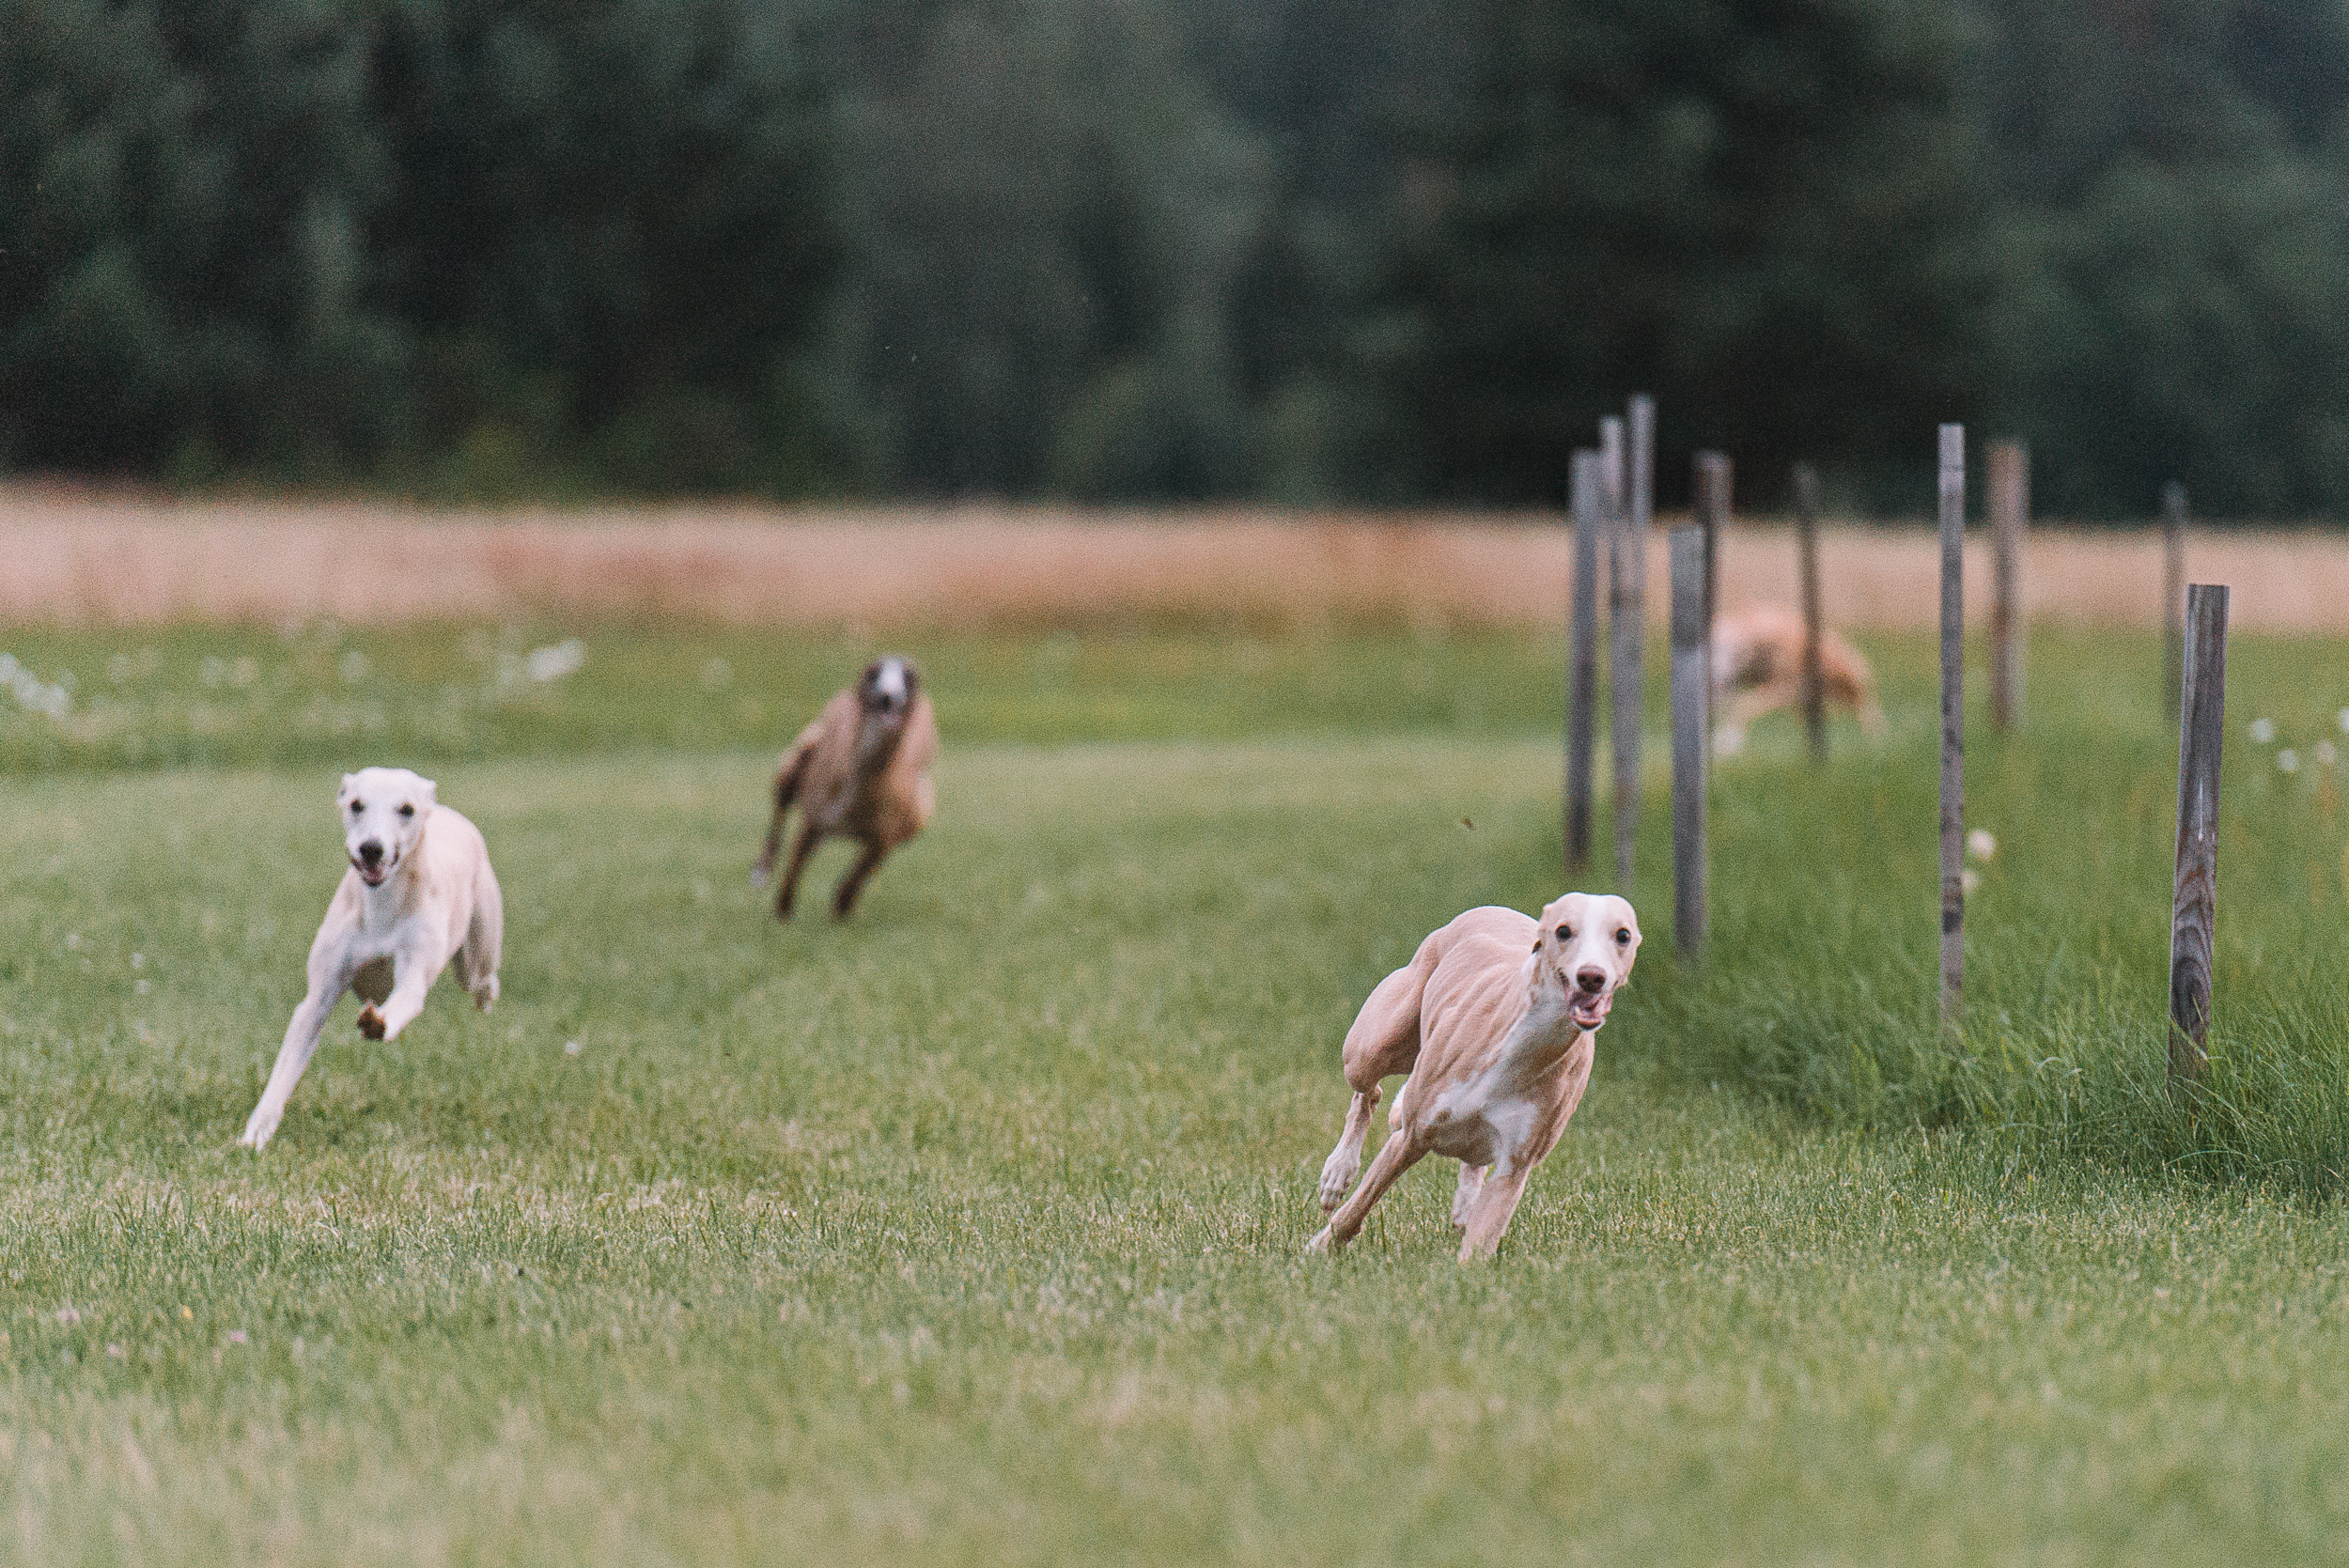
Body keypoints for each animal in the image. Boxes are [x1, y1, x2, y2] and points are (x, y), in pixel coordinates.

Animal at [236, 769, 503, 1150]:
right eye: (356, 804)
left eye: (406, 809)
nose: (371, 848)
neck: (382, 906)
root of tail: (448, 813)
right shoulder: (319, 995)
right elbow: (285, 1067)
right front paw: (256, 1133)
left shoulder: (412, 972)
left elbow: (405, 999)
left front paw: (377, 1023)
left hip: (477, 947)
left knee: (481, 979)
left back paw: (486, 995)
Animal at [752, 652, 935, 920]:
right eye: (873, 672)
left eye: (909, 676)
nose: (888, 697)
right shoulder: (815, 818)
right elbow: (794, 867)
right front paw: (782, 912)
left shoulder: (889, 835)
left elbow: (858, 876)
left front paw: (842, 908)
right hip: (800, 753)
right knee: (781, 807)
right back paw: (761, 871)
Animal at [1306, 892, 1635, 1258]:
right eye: (1563, 931)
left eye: (1623, 935)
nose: (1591, 976)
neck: (1524, 1047)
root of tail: (1495, 909)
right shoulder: (1411, 1137)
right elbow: (1358, 1206)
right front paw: (1318, 1248)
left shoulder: (1514, 1169)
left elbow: (1478, 1247)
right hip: (1371, 1048)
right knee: (1368, 1092)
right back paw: (1337, 1172)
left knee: (1471, 1159)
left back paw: (1464, 1203)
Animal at [1710, 600, 1889, 751]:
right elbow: (1738, 706)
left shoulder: (1787, 687)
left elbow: (1744, 705)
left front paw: (1726, 741)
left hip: (1847, 679)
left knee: (1868, 711)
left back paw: (1876, 743)